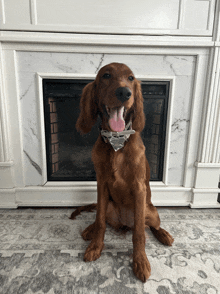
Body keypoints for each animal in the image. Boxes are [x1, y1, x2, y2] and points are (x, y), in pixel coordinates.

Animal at [70, 62, 174, 282]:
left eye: (131, 78)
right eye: (106, 75)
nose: (125, 92)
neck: (116, 141)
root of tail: (124, 223)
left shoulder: (139, 187)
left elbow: (140, 234)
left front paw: (140, 261)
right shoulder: (101, 184)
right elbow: (100, 221)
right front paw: (95, 246)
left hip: (149, 211)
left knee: (150, 226)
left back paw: (164, 234)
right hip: (109, 206)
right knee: (102, 218)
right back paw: (90, 229)